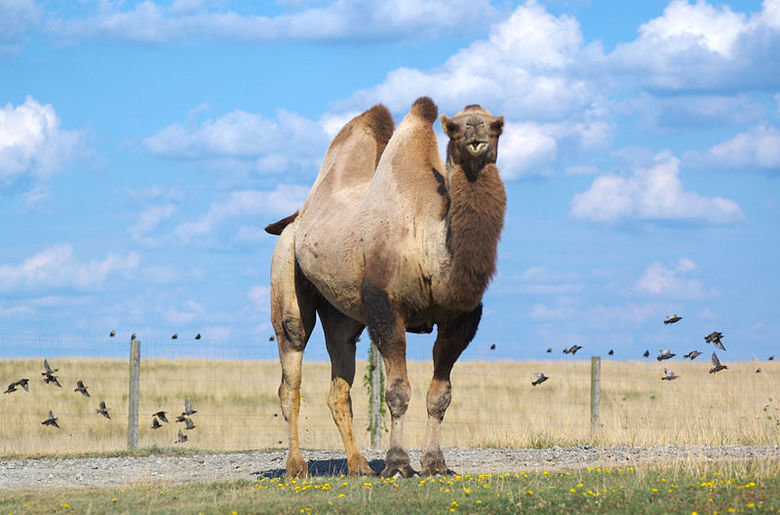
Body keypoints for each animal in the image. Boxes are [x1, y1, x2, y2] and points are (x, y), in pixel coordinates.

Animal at [267, 97, 506, 478]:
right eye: (454, 127)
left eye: (496, 126)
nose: (476, 138)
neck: (427, 244)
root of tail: (295, 219)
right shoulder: (385, 307)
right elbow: (397, 392)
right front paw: (397, 464)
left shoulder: (461, 318)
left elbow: (441, 395)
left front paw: (436, 464)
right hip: (286, 270)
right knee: (291, 363)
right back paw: (296, 467)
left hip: (342, 315)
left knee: (339, 378)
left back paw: (359, 466)